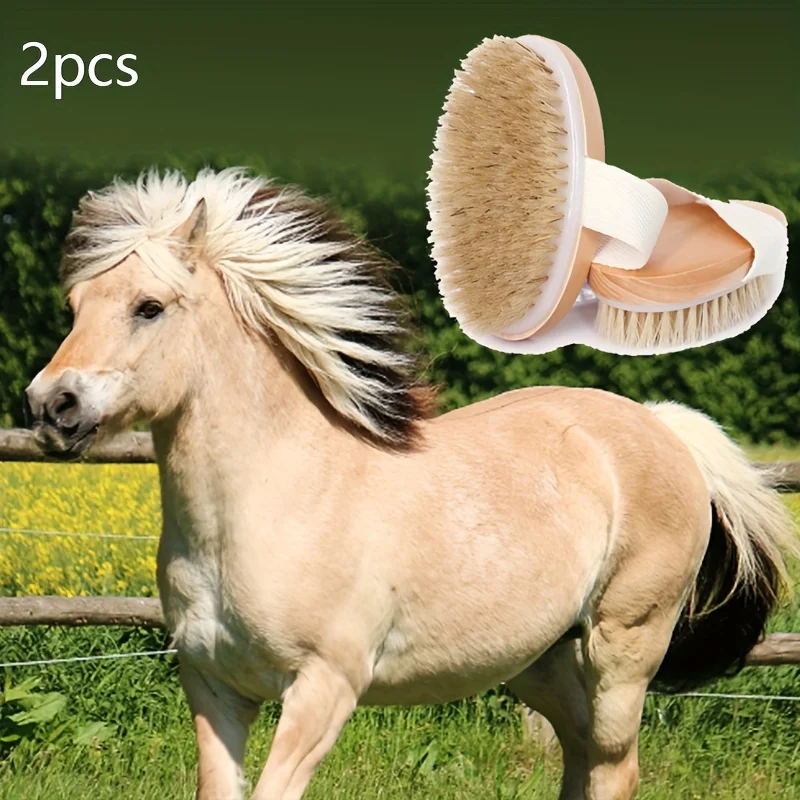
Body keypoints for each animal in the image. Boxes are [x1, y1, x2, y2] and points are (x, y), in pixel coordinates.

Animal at [26, 168, 796, 800]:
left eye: (148, 307)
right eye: (77, 303)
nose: (51, 405)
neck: (271, 503)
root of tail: (662, 427)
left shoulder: (323, 688)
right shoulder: (213, 686)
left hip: (623, 650)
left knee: (614, 769)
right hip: (539, 663)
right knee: (579, 761)